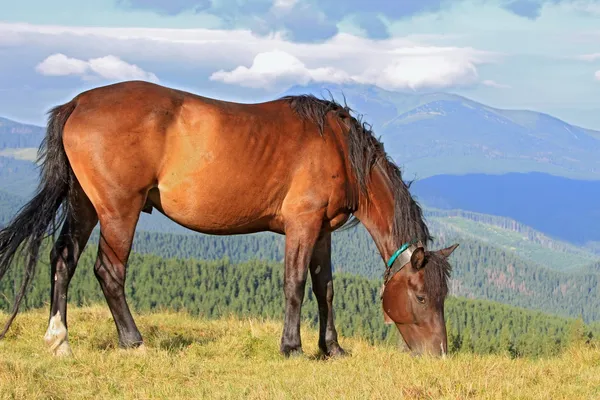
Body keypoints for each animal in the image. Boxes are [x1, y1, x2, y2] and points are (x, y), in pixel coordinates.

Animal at [0, 79, 458, 358]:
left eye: (441, 298)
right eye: (421, 297)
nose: (438, 353)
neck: (340, 149)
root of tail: (79, 102)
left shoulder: (322, 231)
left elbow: (324, 288)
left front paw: (332, 349)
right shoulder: (302, 224)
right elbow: (295, 285)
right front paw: (292, 347)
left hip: (85, 204)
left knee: (64, 259)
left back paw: (59, 339)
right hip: (118, 210)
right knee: (108, 271)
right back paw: (134, 341)